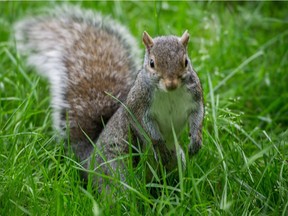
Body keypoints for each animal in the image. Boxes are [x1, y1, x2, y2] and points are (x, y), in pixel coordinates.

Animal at [14, 5, 204, 191]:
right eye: (152, 63)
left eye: (186, 61)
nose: (171, 84)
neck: (169, 94)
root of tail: (88, 161)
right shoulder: (138, 106)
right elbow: (146, 128)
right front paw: (159, 145)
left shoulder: (195, 97)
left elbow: (198, 116)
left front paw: (195, 140)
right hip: (114, 168)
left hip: (177, 159)